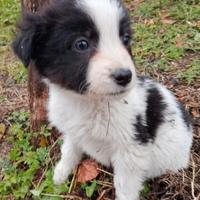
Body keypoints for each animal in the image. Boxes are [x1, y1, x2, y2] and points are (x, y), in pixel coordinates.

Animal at [13, 0, 193, 200]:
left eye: (125, 39)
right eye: (81, 44)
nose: (125, 76)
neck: (88, 102)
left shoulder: (131, 150)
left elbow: (125, 186)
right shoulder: (73, 131)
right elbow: (69, 150)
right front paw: (60, 173)